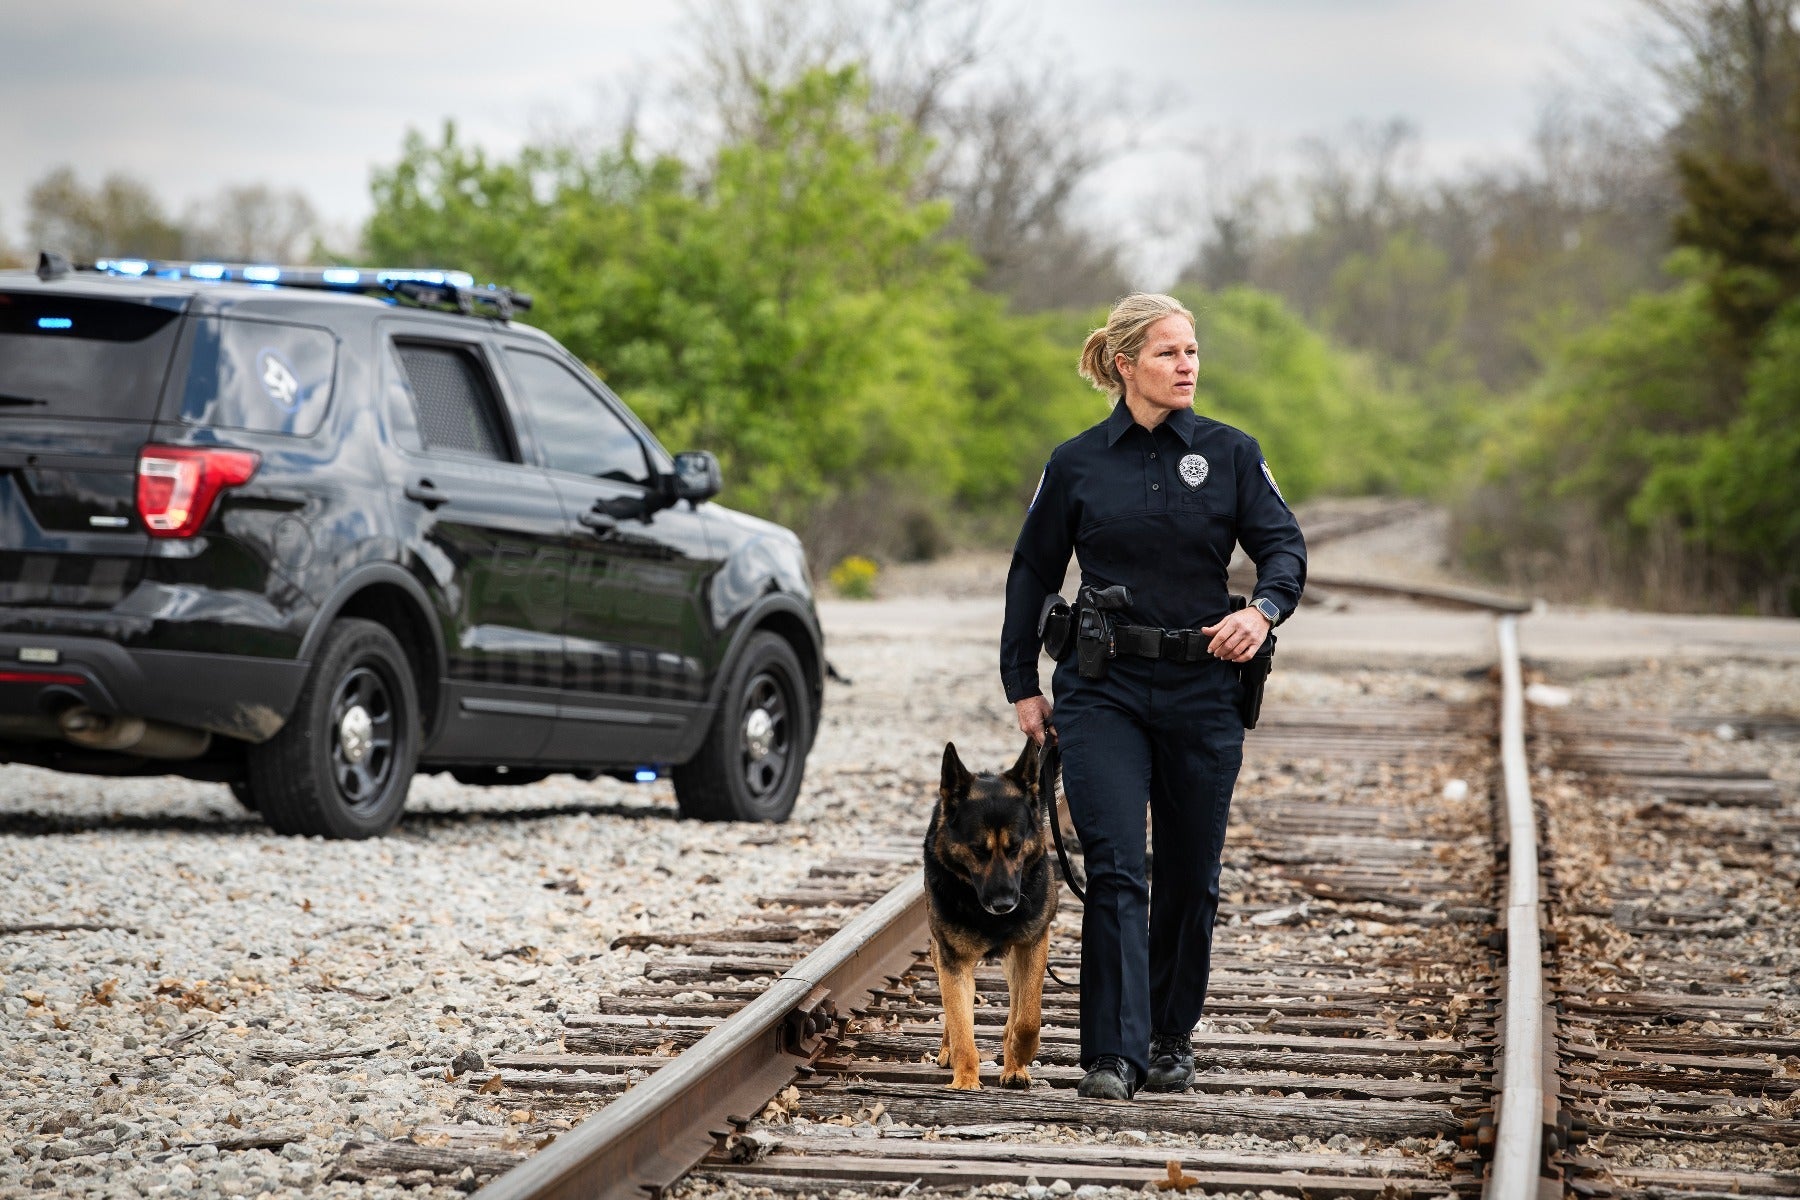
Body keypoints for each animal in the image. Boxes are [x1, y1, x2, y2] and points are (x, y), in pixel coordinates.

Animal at [928, 741, 1051, 1086]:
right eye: (977, 850)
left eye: (1015, 847)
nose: (1004, 904)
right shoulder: (953, 960)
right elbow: (960, 1023)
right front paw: (965, 1080)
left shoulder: (1032, 945)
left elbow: (1027, 1018)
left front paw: (1019, 1054)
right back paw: (948, 1052)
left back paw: (1014, 1065)